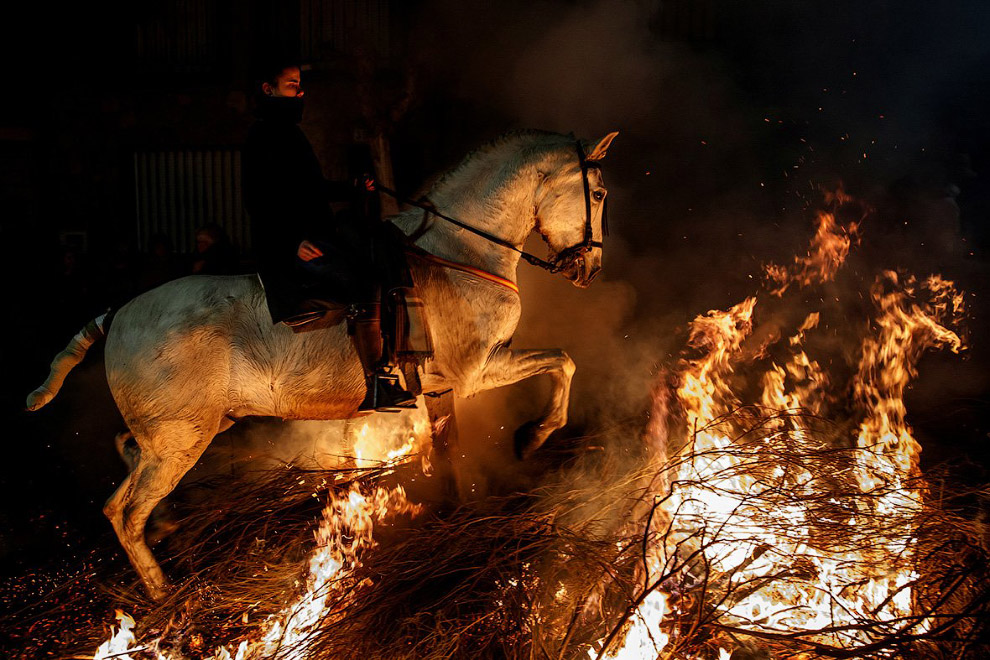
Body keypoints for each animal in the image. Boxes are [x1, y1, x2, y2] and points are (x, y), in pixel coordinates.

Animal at [27, 127, 616, 600]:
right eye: (600, 192)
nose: (589, 269)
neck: (458, 251)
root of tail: (119, 314)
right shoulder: (480, 370)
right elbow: (563, 363)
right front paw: (534, 436)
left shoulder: (443, 388)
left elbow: (449, 446)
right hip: (181, 441)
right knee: (127, 514)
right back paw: (160, 590)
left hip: (190, 429)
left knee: (121, 480)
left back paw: (164, 529)